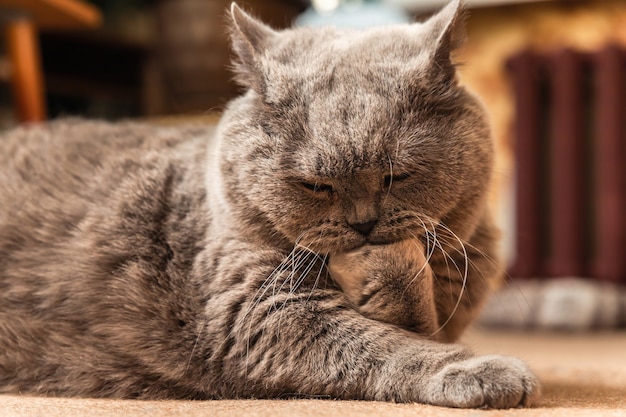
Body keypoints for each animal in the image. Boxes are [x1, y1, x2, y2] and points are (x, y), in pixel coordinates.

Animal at [0, 0, 536, 406]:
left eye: (395, 176)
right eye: (314, 185)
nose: (363, 224)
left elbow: (417, 319)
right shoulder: (256, 310)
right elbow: (388, 345)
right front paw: (484, 370)